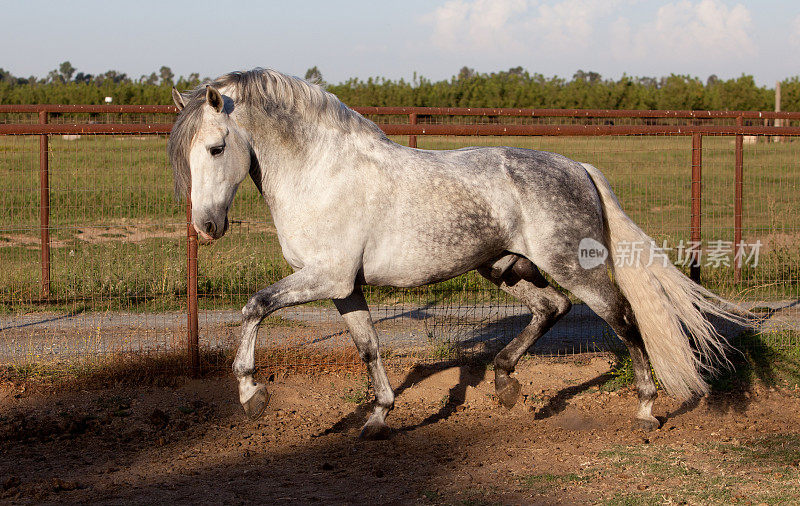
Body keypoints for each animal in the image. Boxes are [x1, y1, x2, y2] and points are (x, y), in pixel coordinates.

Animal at [166, 67, 748, 438]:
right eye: (185, 157)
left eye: (215, 148)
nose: (207, 227)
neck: (321, 173)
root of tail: (579, 167)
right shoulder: (344, 288)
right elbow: (368, 347)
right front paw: (378, 419)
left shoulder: (325, 277)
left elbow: (255, 306)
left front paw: (251, 396)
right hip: (505, 268)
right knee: (551, 308)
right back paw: (506, 384)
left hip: (574, 267)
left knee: (623, 319)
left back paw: (646, 410)